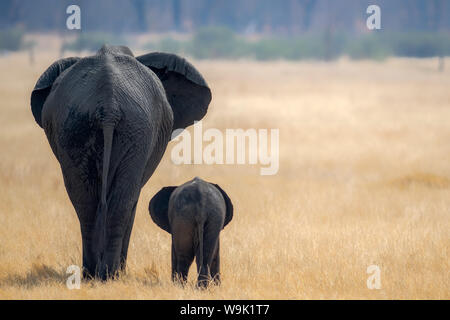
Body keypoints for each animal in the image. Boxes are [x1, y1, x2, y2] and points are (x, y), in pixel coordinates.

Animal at [30, 45, 212, 280]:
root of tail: (108, 106)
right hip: (128, 130)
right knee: (122, 201)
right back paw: (110, 274)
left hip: (84, 128)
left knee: (87, 201)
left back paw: (94, 273)